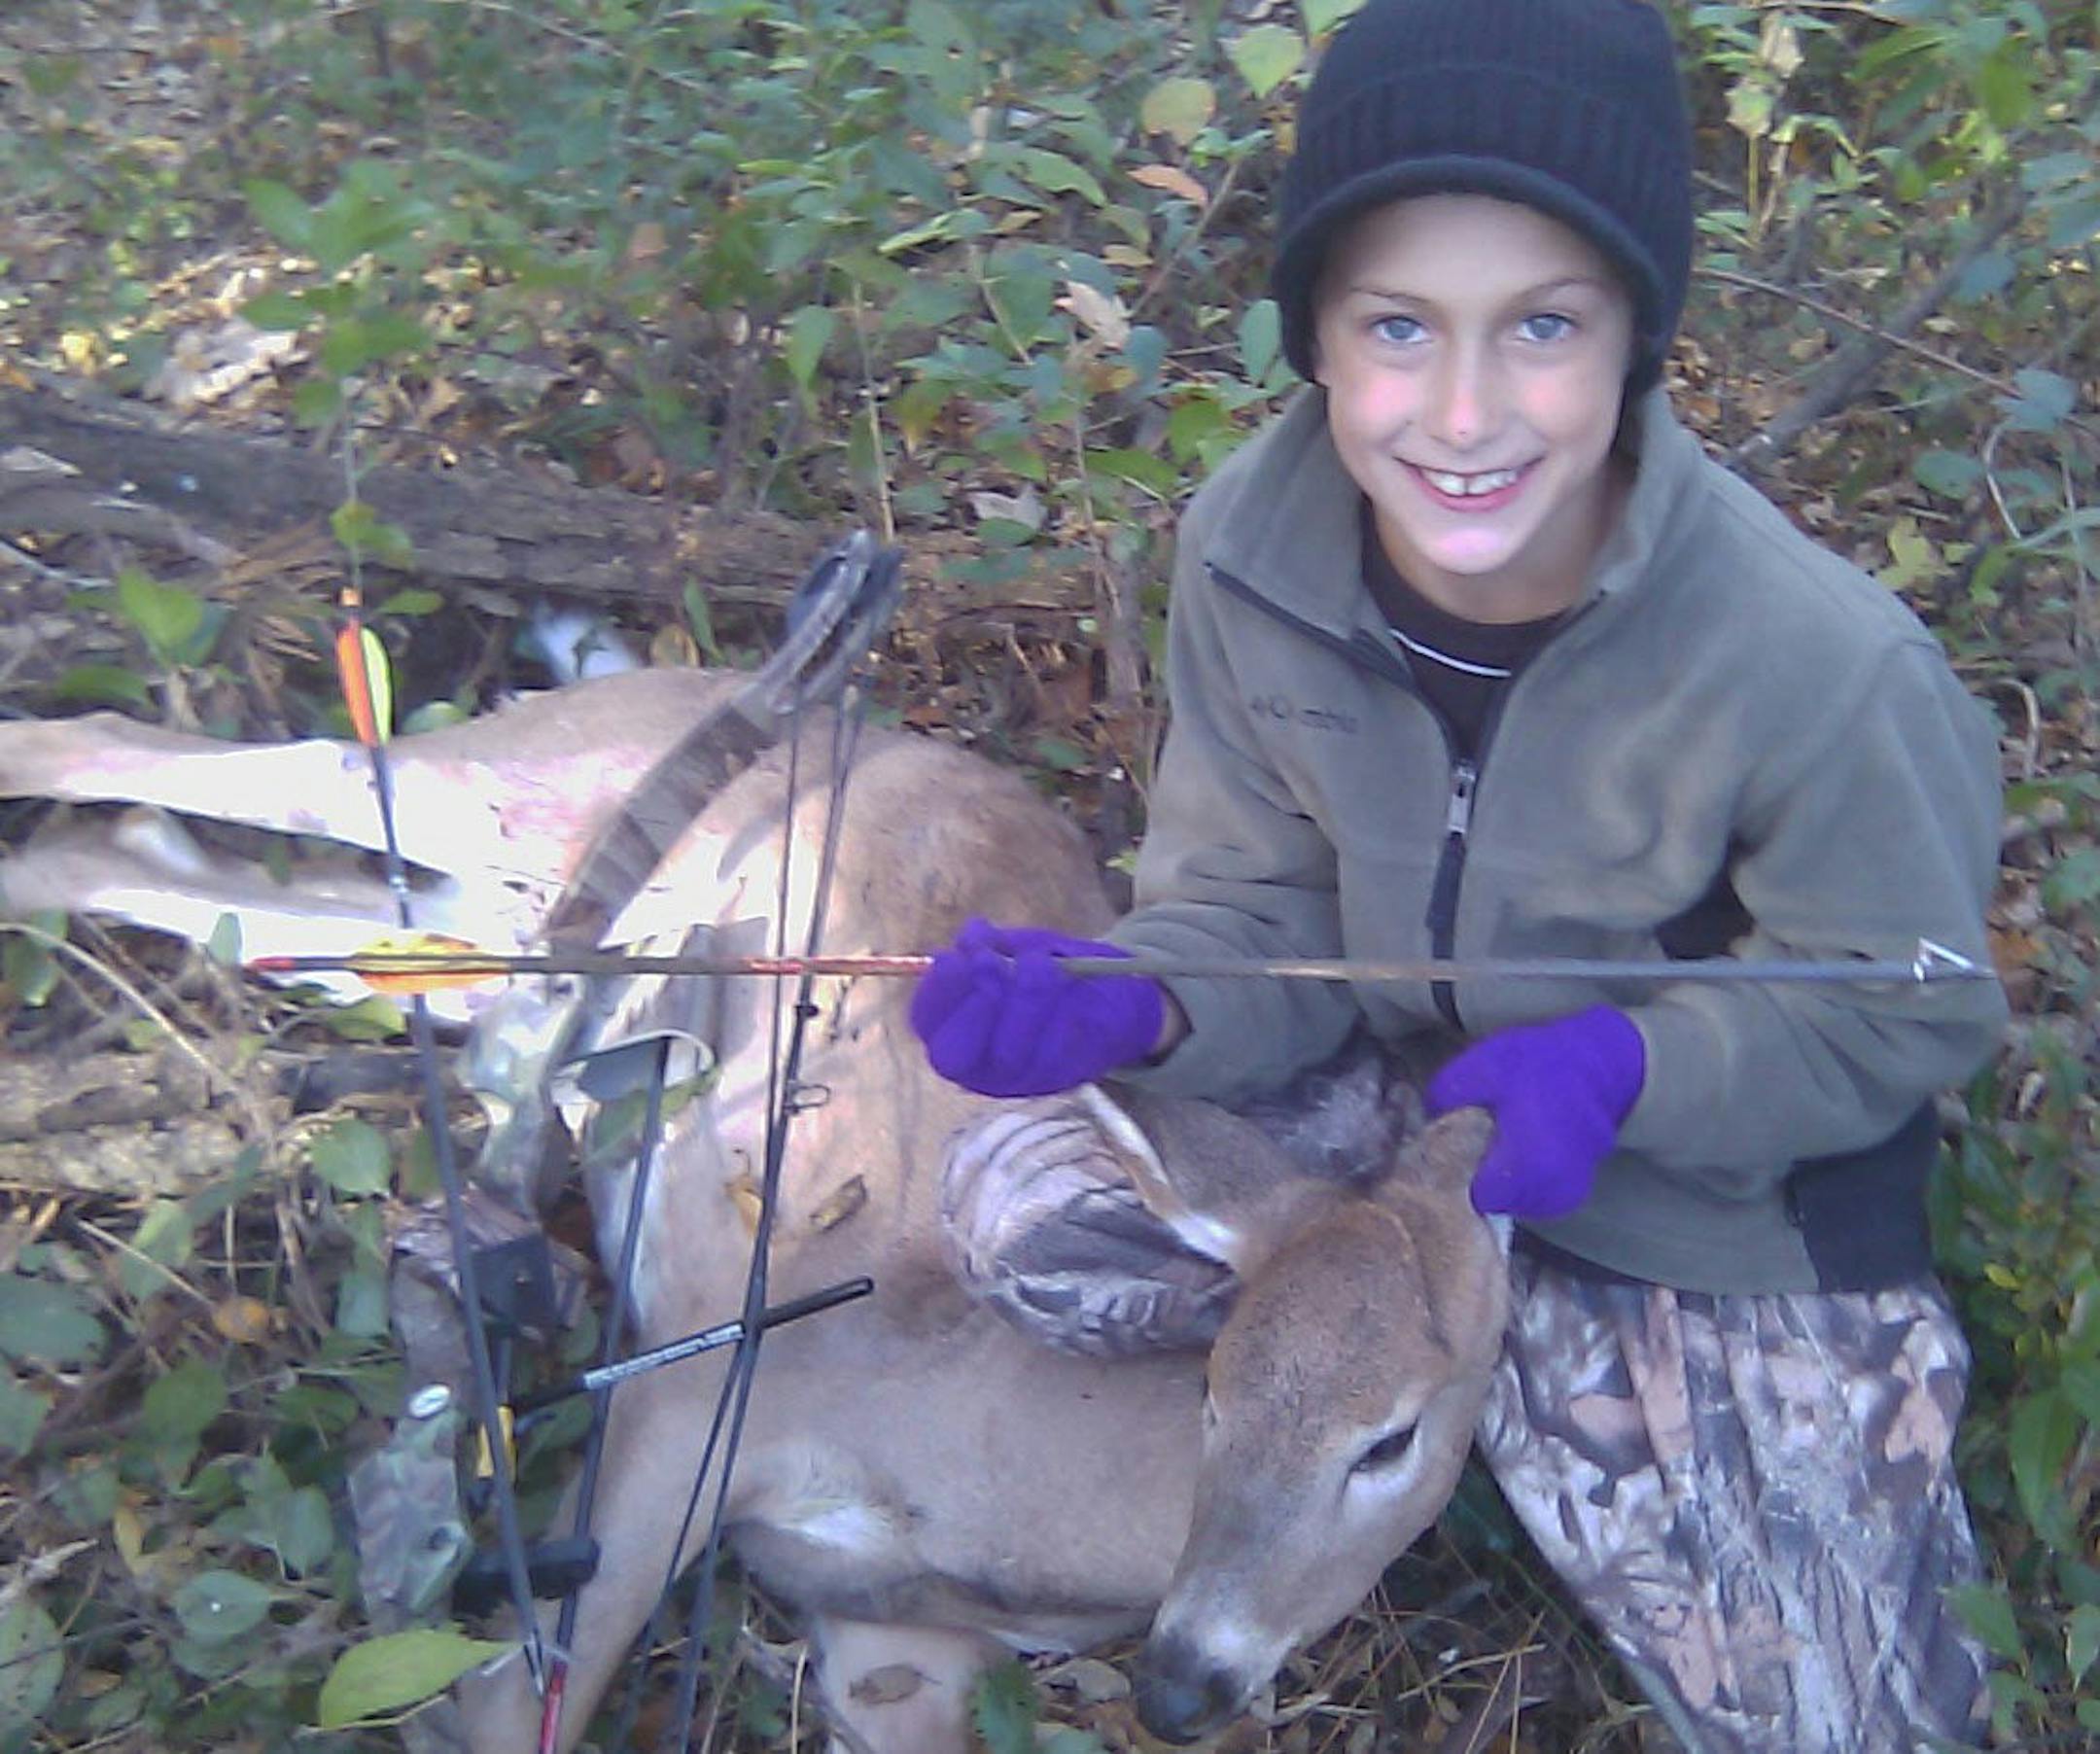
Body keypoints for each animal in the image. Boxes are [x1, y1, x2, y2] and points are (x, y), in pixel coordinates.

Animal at [0, 661, 1509, 1752]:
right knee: (222, 757)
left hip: (468, 935)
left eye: (1392, 1437)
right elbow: (508, 1710)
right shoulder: (692, 1389)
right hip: (517, 779)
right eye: (1215, 1391)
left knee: (218, 881)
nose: (1185, 1688)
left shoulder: (901, 1649)